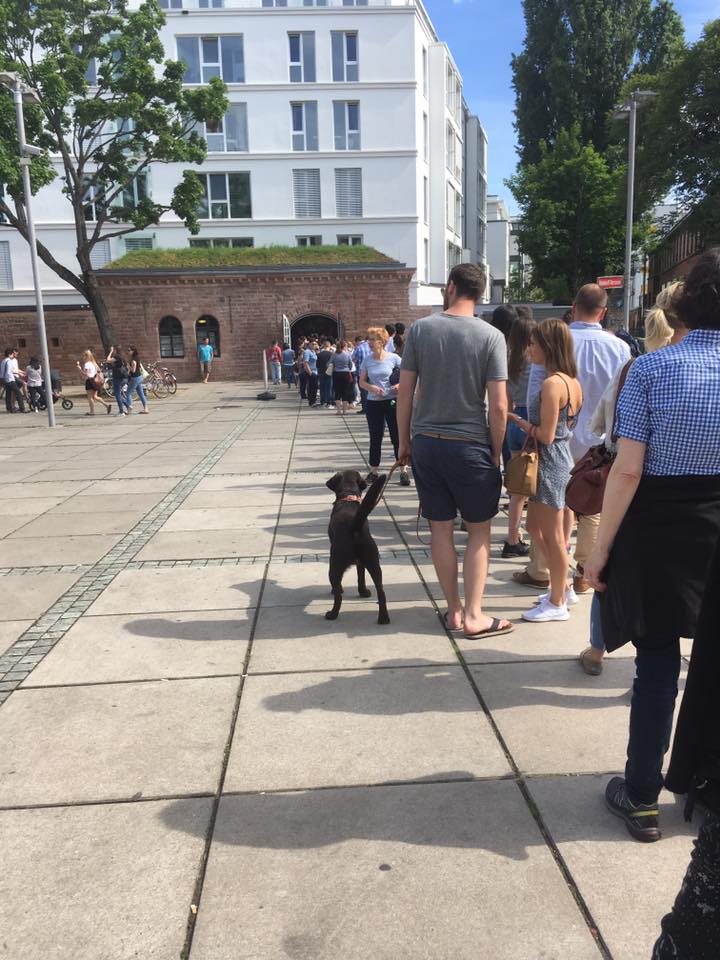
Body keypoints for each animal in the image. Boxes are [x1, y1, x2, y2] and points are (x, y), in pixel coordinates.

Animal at [326, 468, 390, 628]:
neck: (348, 496)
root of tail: (354, 528)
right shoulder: (361, 563)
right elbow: (361, 576)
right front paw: (363, 592)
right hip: (374, 563)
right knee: (381, 592)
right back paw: (384, 618)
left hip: (334, 565)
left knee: (338, 596)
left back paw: (332, 614)